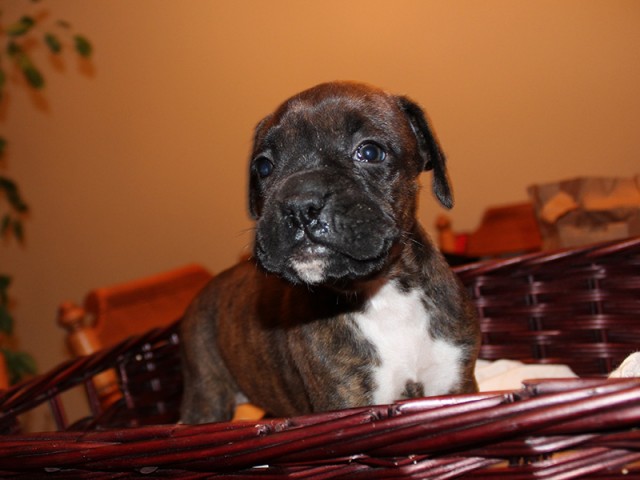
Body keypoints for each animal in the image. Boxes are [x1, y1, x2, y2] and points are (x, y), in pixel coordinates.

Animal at [180, 81, 480, 424]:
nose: (299, 205)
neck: (384, 294)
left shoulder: (456, 383)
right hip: (206, 395)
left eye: (370, 152)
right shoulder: (347, 401)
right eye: (264, 167)